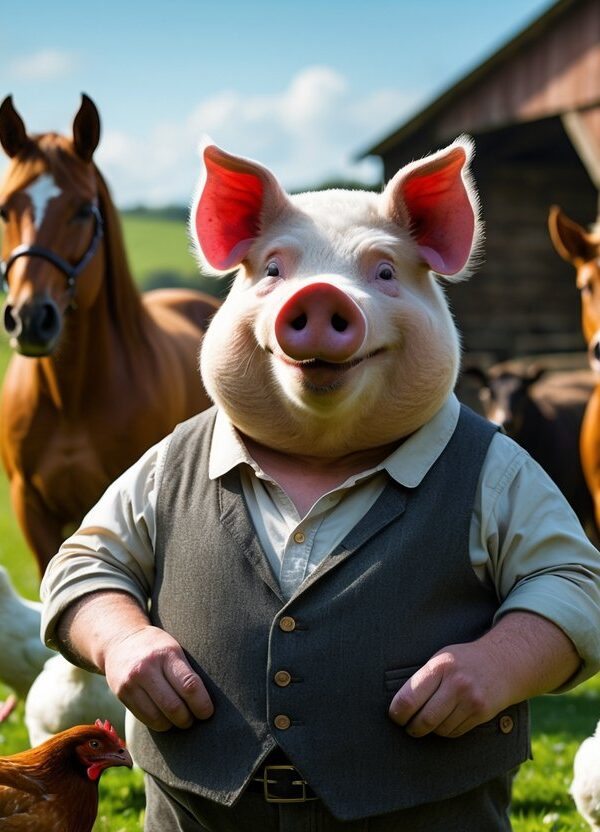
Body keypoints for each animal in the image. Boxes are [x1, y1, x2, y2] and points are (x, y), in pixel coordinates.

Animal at [40, 139, 600, 832]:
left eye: (384, 272)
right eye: (275, 269)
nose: (321, 296)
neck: (320, 460)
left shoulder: (519, 478)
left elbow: (564, 584)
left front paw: (432, 697)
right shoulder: (148, 467)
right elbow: (86, 560)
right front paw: (168, 684)